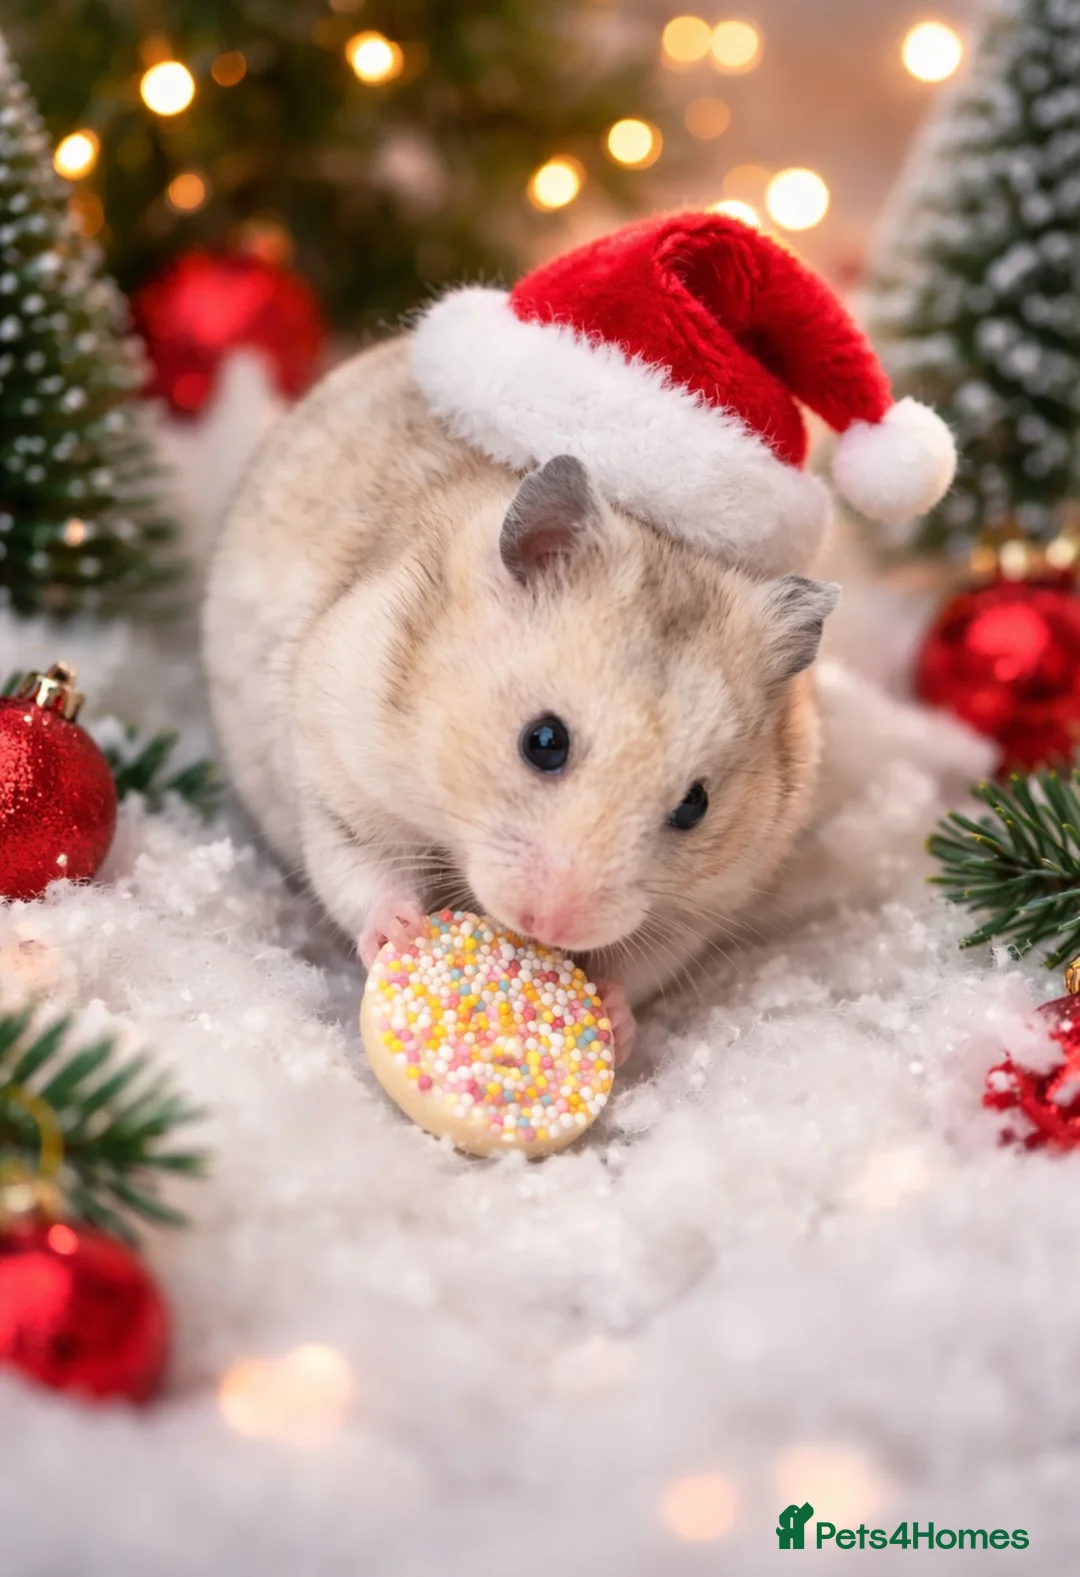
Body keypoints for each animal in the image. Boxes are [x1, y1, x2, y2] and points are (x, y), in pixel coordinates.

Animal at [203, 336, 838, 1063]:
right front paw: (405, 934)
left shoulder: (701, 906)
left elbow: (640, 963)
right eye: (543, 742)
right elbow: (363, 873)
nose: (552, 926)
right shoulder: (342, 781)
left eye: (695, 806)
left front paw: (612, 1017)